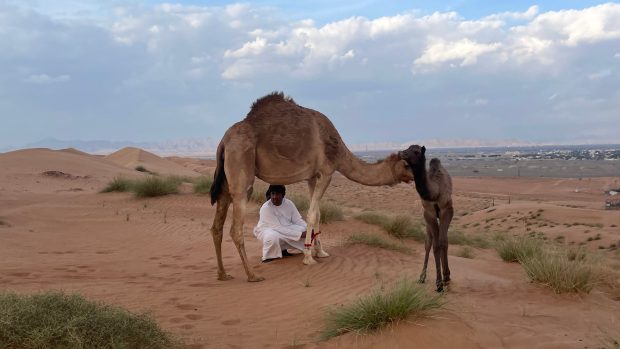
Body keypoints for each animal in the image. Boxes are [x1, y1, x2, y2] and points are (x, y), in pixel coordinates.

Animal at [211, 92, 414, 280]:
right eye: (407, 164)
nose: (415, 177)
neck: (338, 150)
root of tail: (224, 141)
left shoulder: (312, 177)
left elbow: (318, 213)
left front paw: (320, 252)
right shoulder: (326, 172)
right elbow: (311, 214)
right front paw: (308, 257)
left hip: (225, 177)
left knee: (217, 225)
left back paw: (223, 274)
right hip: (241, 162)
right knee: (235, 226)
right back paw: (252, 275)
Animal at [400, 144, 452, 290]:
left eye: (416, 151)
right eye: (407, 148)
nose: (401, 153)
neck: (435, 191)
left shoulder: (447, 209)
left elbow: (443, 242)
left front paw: (446, 277)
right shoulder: (429, 213)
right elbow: (435, 245)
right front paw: (439, 283)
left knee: (439, 239)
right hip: (427, 219)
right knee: (428, 243)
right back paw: (422, 277)